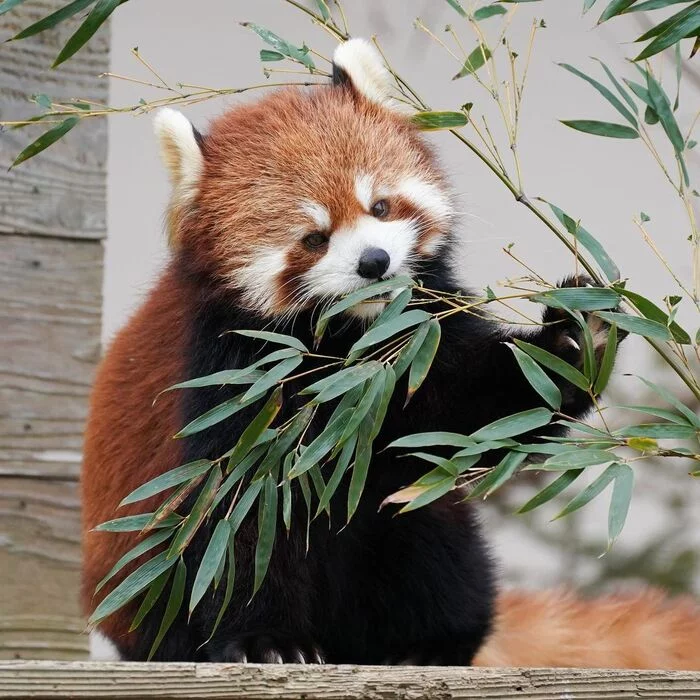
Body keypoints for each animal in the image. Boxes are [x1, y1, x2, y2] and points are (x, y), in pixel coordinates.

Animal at [80, 37, 688, 668]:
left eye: (380, 207)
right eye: (314, 238)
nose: (374, 262)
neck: (353, 343)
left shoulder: (419, 342)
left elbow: (472, 404)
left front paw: (574, 338)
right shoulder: (232, 377)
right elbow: (243, 525)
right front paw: (263, 640)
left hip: (422, 526)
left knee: (423, 537)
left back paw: (426, 645)